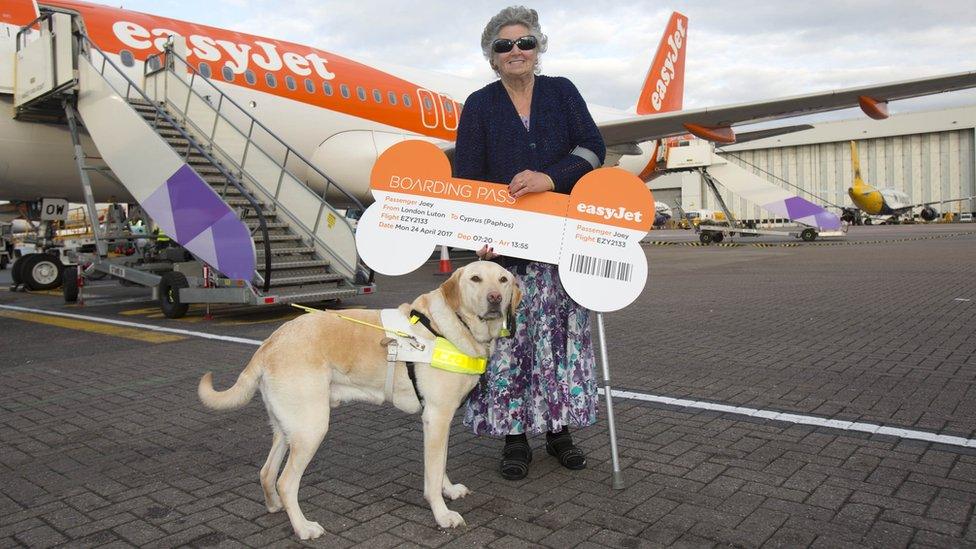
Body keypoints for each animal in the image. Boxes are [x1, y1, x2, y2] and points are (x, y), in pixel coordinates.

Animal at [196, 262, 520, 540]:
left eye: (503, 280)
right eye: (475, 279)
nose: (494, 298)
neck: (451, 326)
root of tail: (268, 344)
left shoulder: (440, 421)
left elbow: (440, 466)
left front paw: (449, 490)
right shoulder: (437, 417)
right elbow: (432, 474)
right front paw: (442, 514)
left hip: (289, 427)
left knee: (266, 472)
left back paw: (275, 506)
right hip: (312, 428)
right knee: (285, 482)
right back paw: (303, 527)